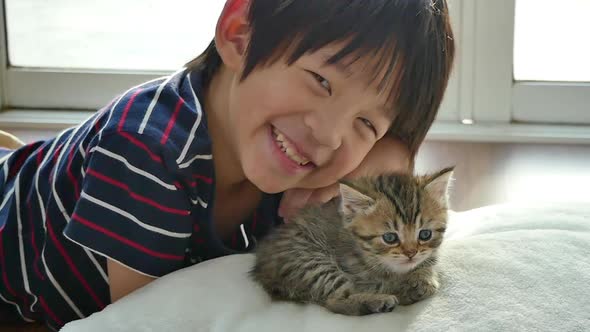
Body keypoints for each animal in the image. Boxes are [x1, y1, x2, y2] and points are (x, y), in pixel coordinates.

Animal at [252, 169, 456, 316]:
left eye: (425, 234)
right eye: (390, 238)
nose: (411, 253)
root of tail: (262, 269)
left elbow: (427, 264)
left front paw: (422, 277)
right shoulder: (361, 275)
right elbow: (387, 283)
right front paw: (409, 288)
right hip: (311, 261)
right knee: (334, 300)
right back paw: (377, 301)